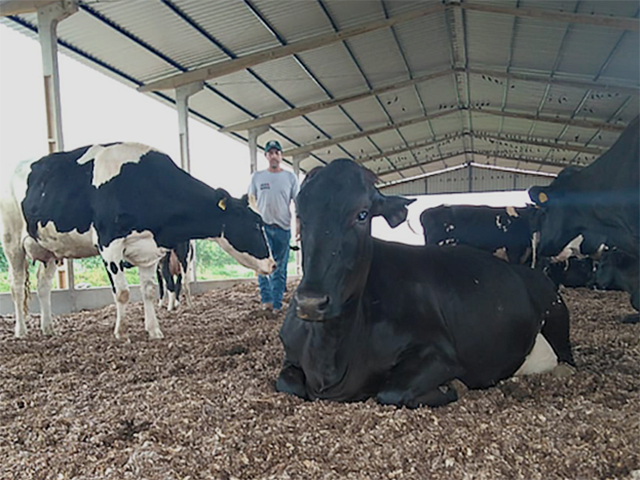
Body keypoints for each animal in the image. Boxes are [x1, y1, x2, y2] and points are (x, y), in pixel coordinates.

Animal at [0, 142, 276, 338]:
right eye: (256, 224)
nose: (273, 264)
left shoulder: (149, 250)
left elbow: (150, 291)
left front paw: (154, 331)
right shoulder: (108, 244)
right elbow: (122, 293)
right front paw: (121, 332)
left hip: (47, 250)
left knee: (42, 286)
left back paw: (48, 328)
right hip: (12, 241)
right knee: (16, 286)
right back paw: (21, 332)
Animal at [276, 159, 576, 406]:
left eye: (362, 214)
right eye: (300, 215)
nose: (310, 303)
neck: (329, 357)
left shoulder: (440, 354)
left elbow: (391, 392)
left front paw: (452, 388)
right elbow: (286, 383)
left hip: (557, 316)